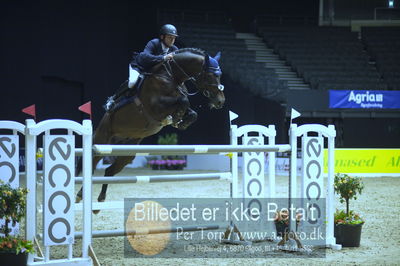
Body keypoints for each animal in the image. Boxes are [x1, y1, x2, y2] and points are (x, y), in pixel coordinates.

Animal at [75, 47, 225, 210]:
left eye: (219, 75)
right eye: (210, 75)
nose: (220, 101)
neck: (172, 76)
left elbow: (191, 112)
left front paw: (180, 121)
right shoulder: (155, 106)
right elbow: (183, 100)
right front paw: (174, 118)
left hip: (128, 152)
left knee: (110, 170)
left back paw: (100, 201)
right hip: (103, 140)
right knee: (93, 164)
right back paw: (80, 195)